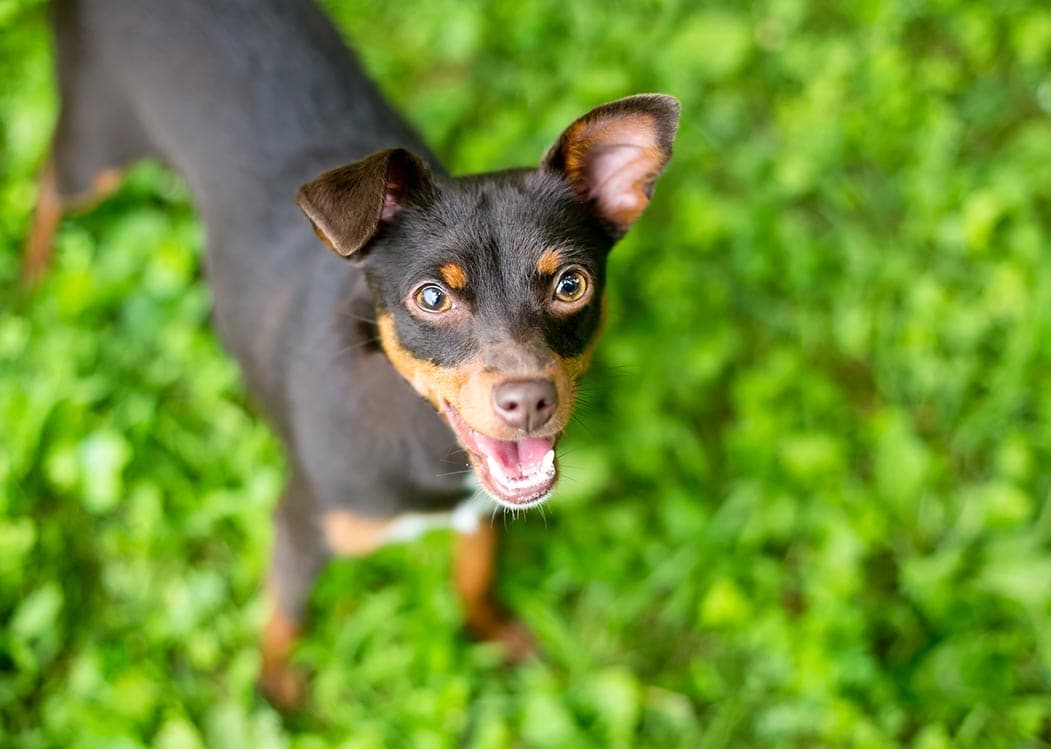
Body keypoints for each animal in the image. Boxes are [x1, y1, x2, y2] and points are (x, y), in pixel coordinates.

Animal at [26, 0, 681, 705]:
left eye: (571, 285)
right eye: (430, 297)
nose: (529, 401)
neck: (420, 430)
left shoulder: (481, 511)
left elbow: (473, 577)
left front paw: (493, 634)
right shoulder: (301, 530)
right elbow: (284, 621)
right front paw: (276, 694)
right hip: (94, 149)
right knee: (46, 184)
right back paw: (33, 279)